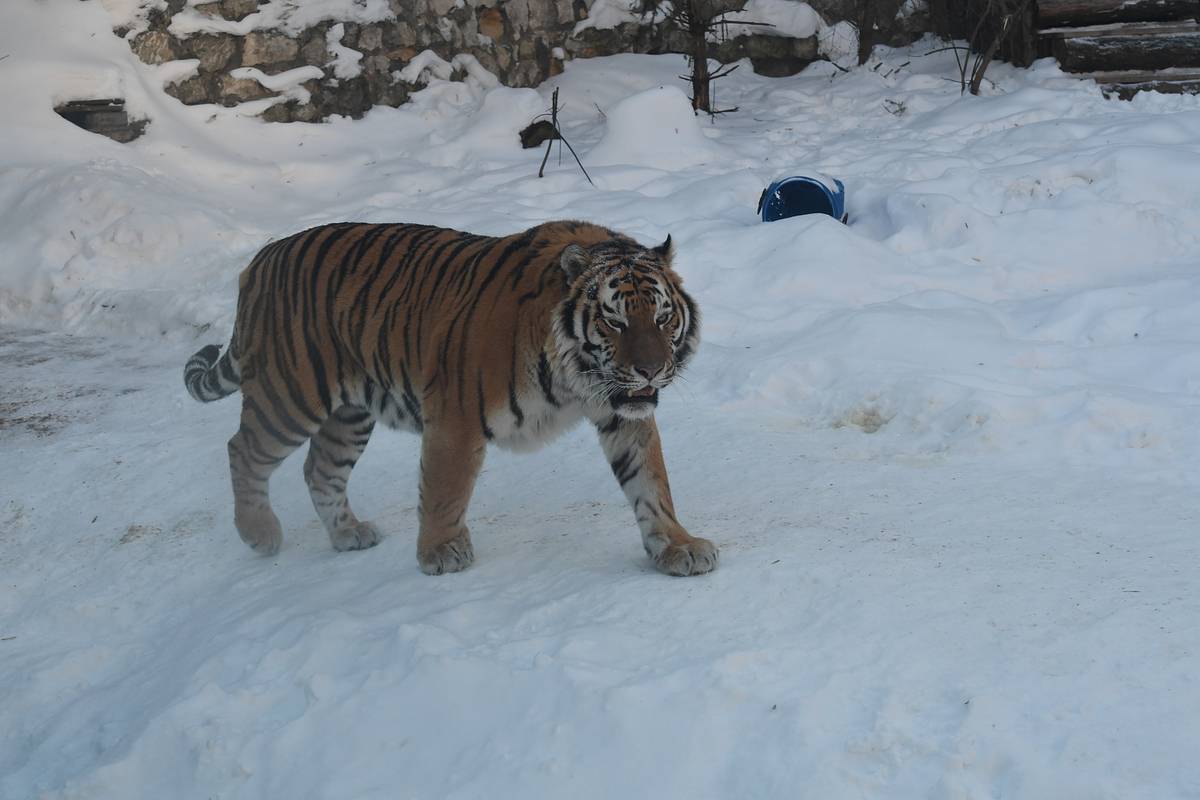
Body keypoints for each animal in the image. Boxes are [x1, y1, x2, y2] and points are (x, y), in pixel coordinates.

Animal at [182, 220, 715, 575]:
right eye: (615, 321)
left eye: (663, 318)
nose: (651, 369)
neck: (576, 378)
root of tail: (260, 261)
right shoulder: (455, 417)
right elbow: (445, 489)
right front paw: (439, 551)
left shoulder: (622, 412)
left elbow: (651, 483)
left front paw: (677, 545)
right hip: (291, 395)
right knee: (243, 450)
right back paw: (260, 533)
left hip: (349, 414)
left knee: (320, 469)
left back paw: (349, 534)